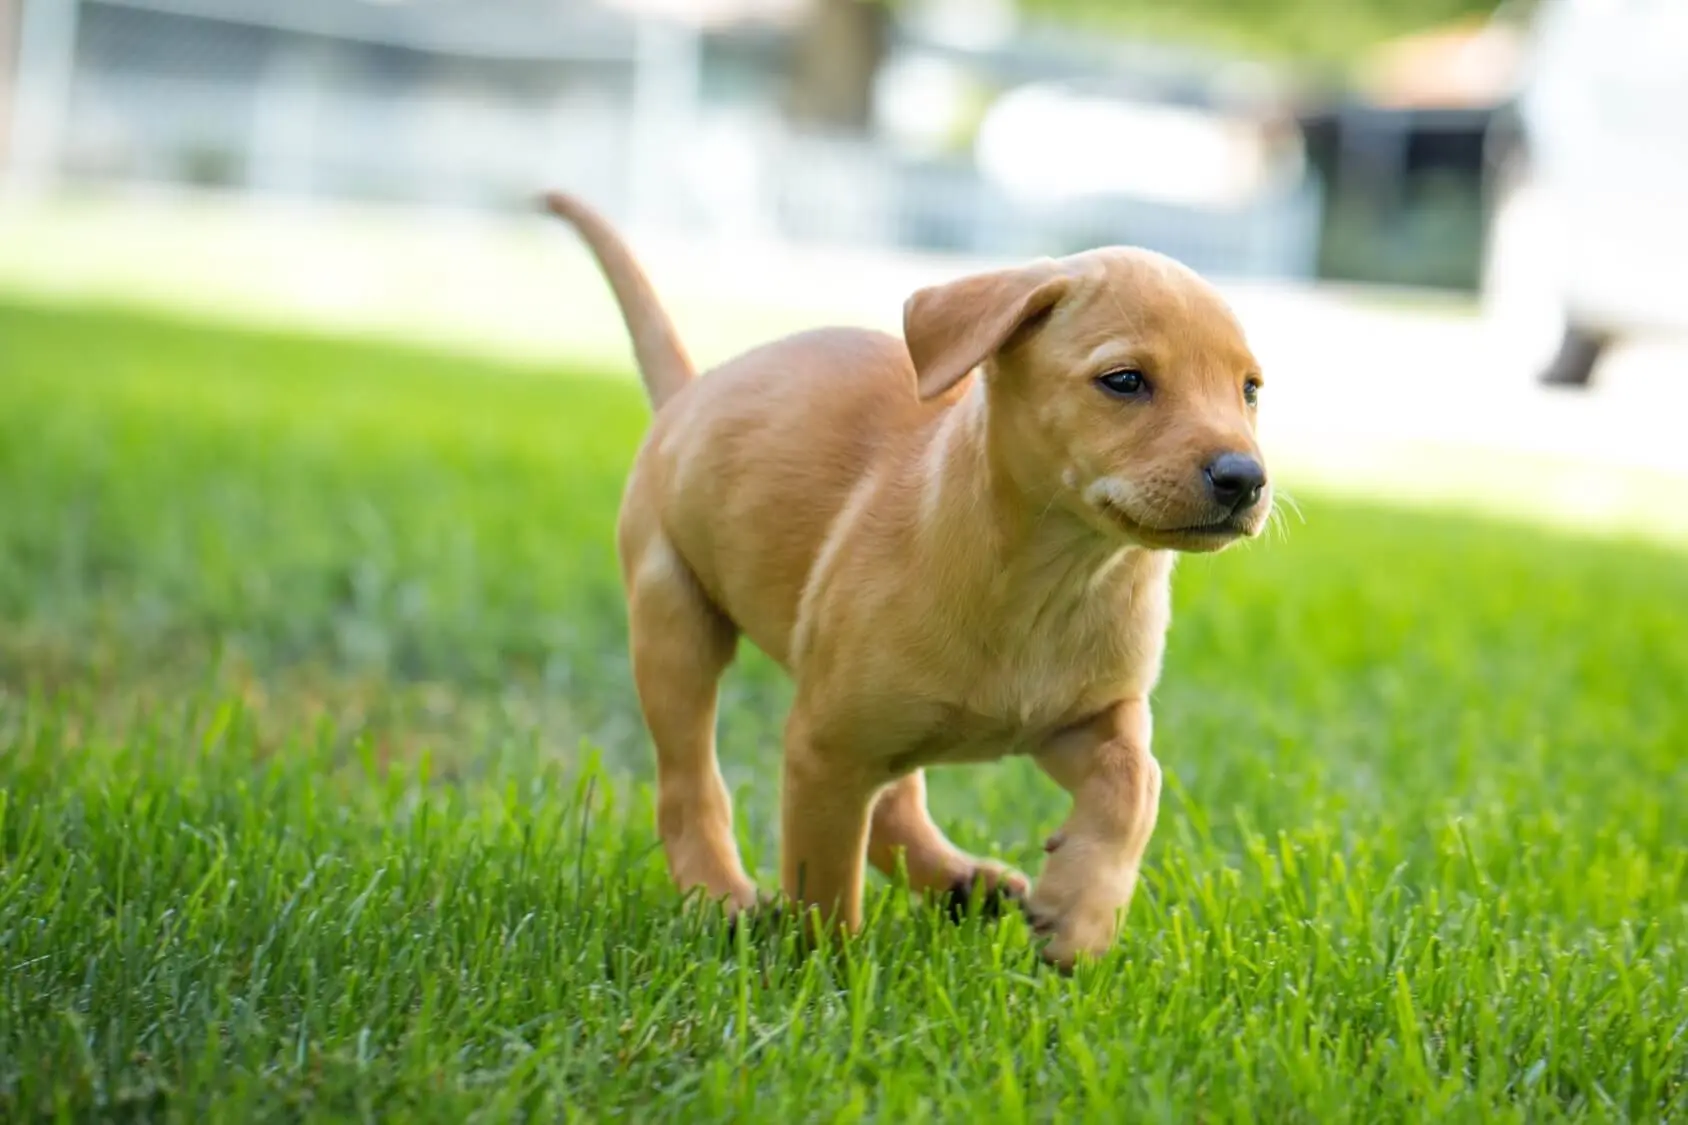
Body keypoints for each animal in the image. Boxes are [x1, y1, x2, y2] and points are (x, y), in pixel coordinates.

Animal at [546, 192, 1269, 966]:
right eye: (1125, 380)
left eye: (1250, 389)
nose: (1245, 478)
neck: (1055, 576)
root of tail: (692, 390)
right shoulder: (823, 749)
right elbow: (825, 880)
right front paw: (822, 972)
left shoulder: (1088, 716)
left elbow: (1137, 780)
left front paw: (1079, 915)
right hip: (675, 623)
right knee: (690, 783)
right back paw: (723, 897)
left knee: (893, 799)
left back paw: (960, 880)